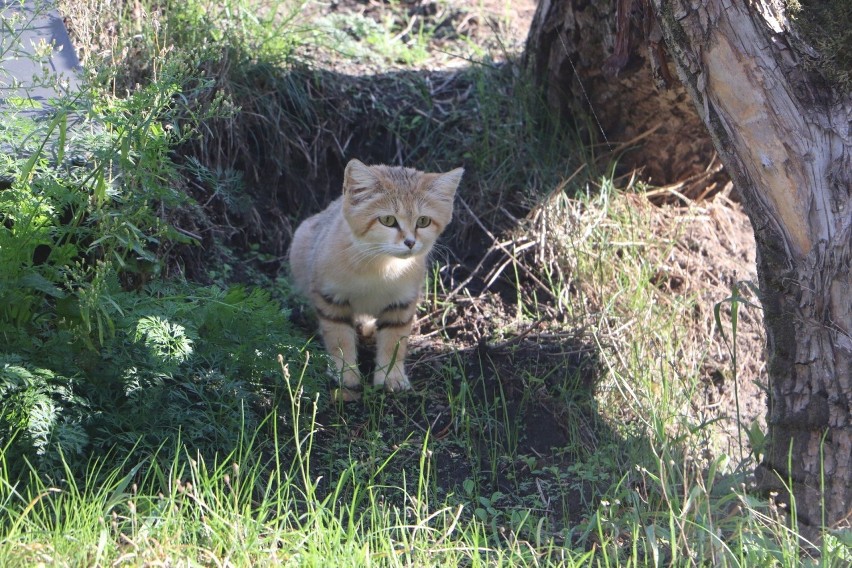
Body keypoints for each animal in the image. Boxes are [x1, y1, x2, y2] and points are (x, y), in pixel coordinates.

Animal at [290, 160, 462, 398]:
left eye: (423, 221)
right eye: (388, 220)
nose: (410, 242)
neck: (381, 266)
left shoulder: (402, 303)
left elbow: (393, 342)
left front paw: (391, 377)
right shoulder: (330, 297)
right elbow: (339, 339)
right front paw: (345, 373)